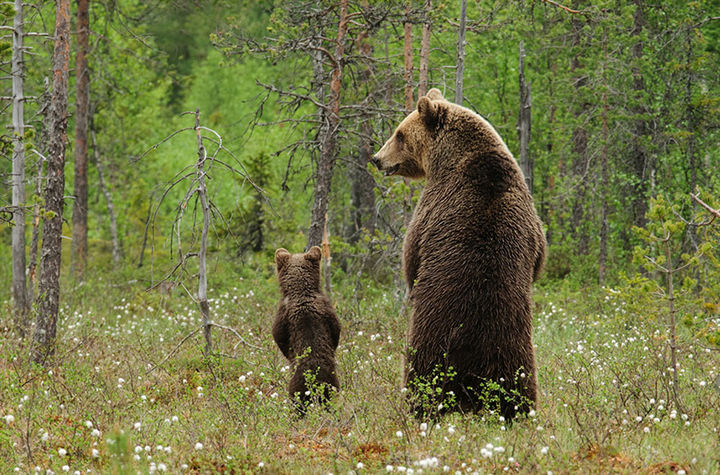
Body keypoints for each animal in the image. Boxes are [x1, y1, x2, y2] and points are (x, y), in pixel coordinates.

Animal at [272, 246, 341, 414]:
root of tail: (315, 383)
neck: (301, 292)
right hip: (331, 385)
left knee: (298, 404)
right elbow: (336, 330)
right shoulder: (328, 311)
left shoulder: (283, 316)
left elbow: (279, 336)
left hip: (297, 387)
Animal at [371, 88, 546, 420]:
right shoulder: (530, 217)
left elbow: (411, 255)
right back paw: (519, 409)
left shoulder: (433, 205)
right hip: (514, 347)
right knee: (519, 382)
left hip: (432, 337)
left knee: (422, 374)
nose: (376, 158)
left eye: (399, 134)